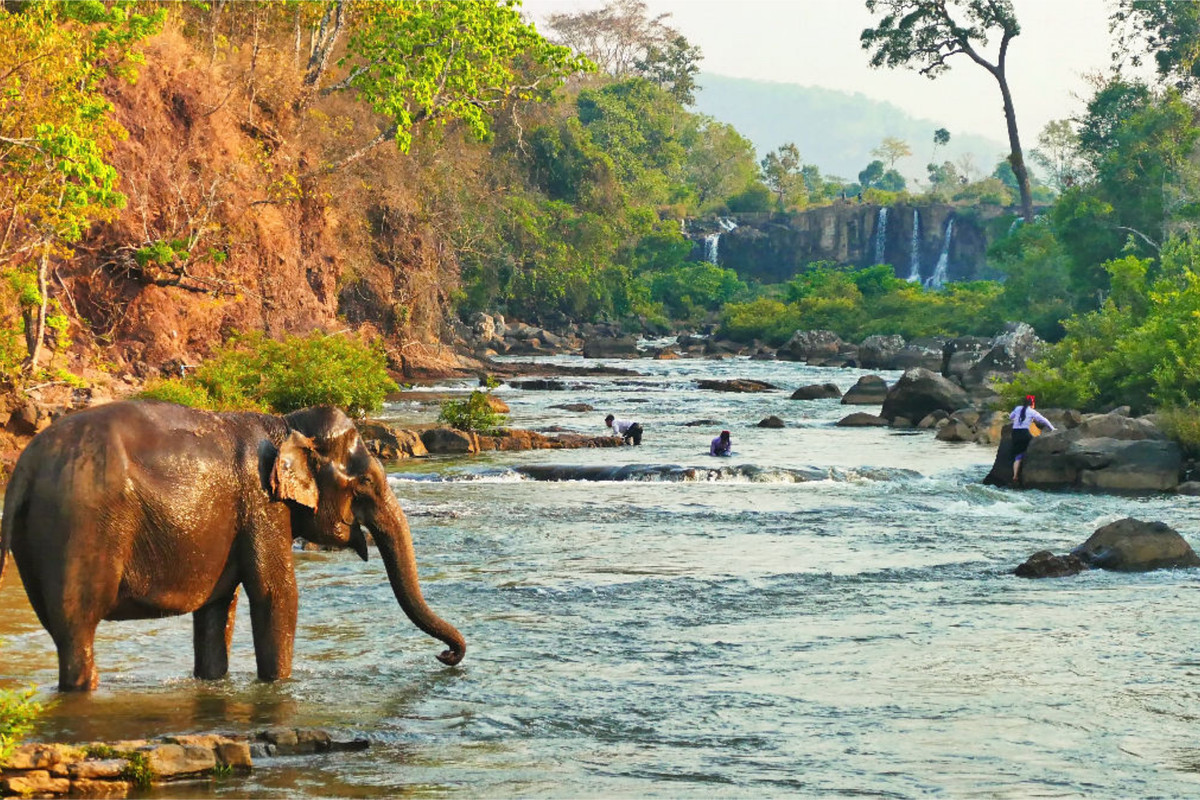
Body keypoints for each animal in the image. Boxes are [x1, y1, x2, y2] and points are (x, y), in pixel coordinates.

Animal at [0, 402, 463, 690]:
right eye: (365, 481)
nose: (445, 656)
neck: (286, 423)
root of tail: (25, 467)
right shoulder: (263, 504)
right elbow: (276, 594)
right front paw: (279, 686)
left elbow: (218, 607)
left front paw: (214, 682)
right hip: (79, 528)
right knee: (77, 627)